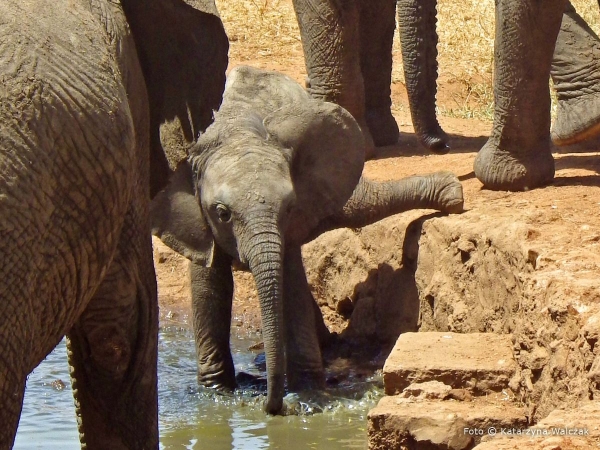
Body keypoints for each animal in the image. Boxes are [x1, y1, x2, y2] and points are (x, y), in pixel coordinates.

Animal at [150, 66, 464, 414]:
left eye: (288, 206)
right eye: (222, 214)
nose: (271, 407)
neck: (236, 132)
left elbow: (291, 285)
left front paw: (308, 396)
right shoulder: (198, 220)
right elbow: (209, 288)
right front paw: (217, 394)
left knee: (362, 203)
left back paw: (450, 193)